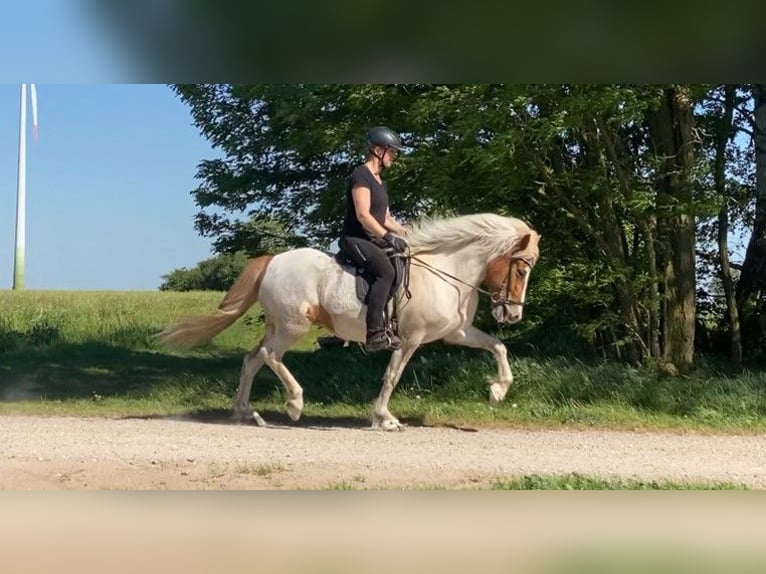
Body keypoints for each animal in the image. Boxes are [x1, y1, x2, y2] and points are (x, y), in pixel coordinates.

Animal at [156, 213, 540, 432]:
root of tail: (272, 261)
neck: (446, 272)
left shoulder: (456, 332)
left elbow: (498, 347)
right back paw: (294, 405)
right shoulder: (411, 339)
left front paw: (497, 391)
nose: (513, 315)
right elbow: (392, 376)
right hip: (294, 326)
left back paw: (245, 413)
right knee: (270, 356)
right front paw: (385, 418)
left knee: (253, 359)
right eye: (522, 269)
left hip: (278, 325)